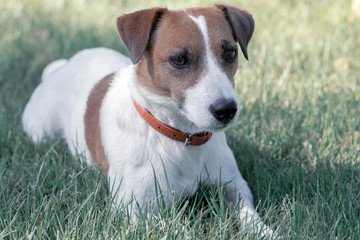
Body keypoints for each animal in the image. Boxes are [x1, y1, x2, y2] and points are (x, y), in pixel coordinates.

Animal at [23, 4, 272, 237]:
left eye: (230, 53)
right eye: (179, 59)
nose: (226, 109)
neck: (179, 136)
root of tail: (64, 66)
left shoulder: (234, 185)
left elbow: (248, 212)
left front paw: (265, 231)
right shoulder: (134, 208)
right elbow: (179, 230)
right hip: (40, 131)